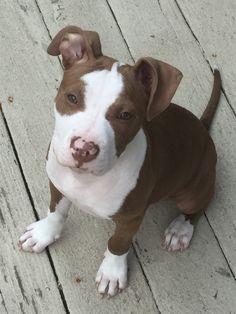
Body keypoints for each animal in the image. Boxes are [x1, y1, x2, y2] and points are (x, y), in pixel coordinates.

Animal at [19, 26, 220, 296]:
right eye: (72, 98)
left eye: (125, 115)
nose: (83, 149)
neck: (84, 181)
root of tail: (202, 127)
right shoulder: (57, 184)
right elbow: (55, 212)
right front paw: (44, 233)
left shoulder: (131, 217)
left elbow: (118, 242)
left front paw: (112, 272)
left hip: (192, 190)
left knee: (201, 203)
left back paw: (180, 229)